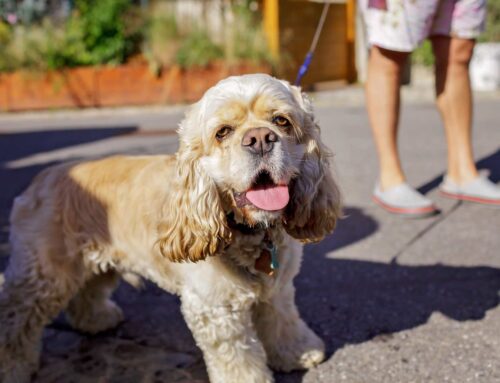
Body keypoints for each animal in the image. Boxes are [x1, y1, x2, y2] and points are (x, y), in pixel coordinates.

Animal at [0, 73, 342, 382]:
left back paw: (97, 320)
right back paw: (13, 367)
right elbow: (237, 357)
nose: (260, 138)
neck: (251, 232)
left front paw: (297, 352)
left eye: (281, 121)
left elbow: (283, 321)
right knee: (15, 318)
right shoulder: (213, 309)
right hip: (44, 277)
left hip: (97, 259)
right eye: (222, 132)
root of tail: (41, 178)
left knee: (89, 289)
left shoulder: (279, 288)